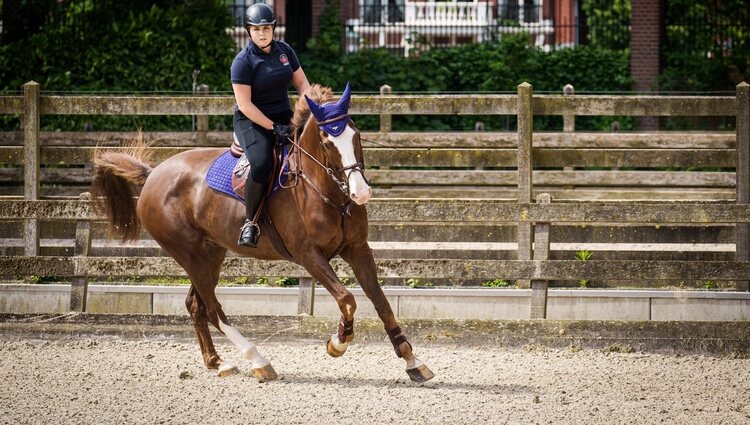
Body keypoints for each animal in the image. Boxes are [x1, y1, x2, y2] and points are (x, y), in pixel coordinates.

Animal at [89, 84, 434, 382]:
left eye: (356, 135)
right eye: (326, 141)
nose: (360, 193)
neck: (327, 193)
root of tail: (153, 175)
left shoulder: (358, 249)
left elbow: (381, 302)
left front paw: (413, 361)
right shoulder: (309, 256)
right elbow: (347, 299)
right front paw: (338, 342)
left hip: (209, 254)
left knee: (196, 304)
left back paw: (218, 363)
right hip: (189, 253)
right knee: (212, 308)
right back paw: (258, 360)